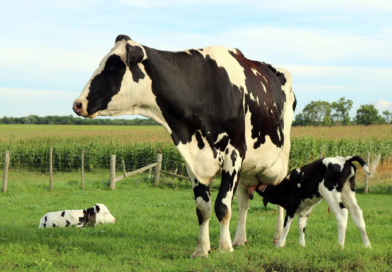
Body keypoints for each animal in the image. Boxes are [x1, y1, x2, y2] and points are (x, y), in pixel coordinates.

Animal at [72, 34, 298, 258]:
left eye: (113, 66)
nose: (77, 104)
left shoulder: (233, 154)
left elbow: (223, 206)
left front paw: (224, 247)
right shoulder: (193, 160)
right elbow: (203, 207)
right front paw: (202, 249)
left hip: (280, 160)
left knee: (278, 195)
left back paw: (277, 238)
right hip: (249, 169)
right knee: (244, 201)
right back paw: (240, 239)